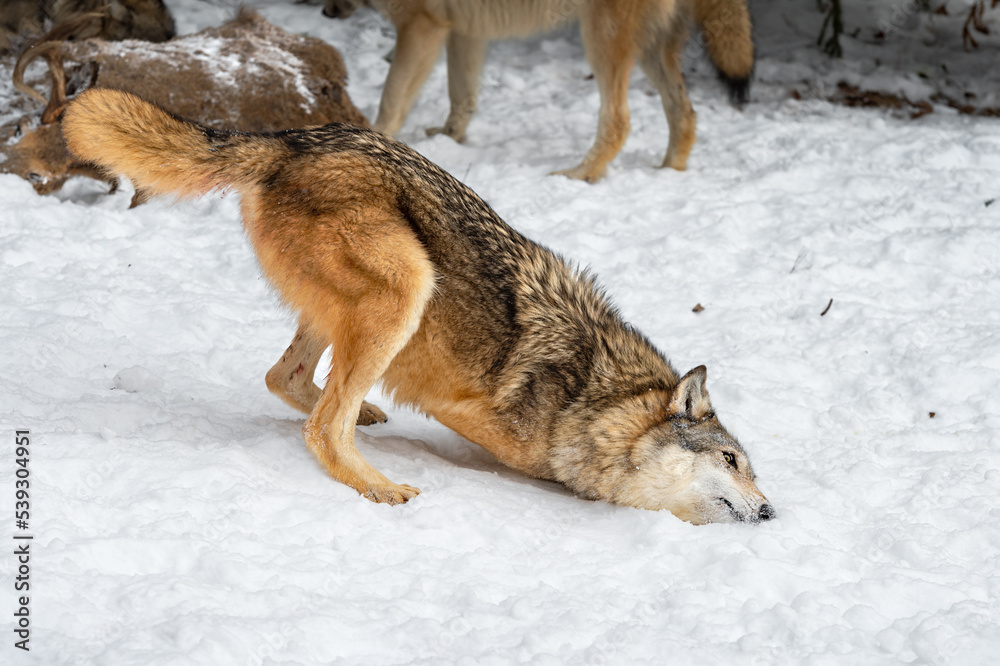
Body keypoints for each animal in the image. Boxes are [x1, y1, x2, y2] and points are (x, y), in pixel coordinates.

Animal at [62, 88, 773, 524]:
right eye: (731, 463)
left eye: (749, 469)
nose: (770, 511)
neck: (592, 397)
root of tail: (288, 139)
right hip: (408, 284)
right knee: (321, 425)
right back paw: (377, 483)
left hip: (358, 304)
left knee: (285, 378)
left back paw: (366, 415)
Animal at [323, 0, 754, 182]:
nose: (326, 12)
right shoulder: (464, 31)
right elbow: (462, 95)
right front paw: (449, 138)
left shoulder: (422, 26)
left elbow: (392, 98)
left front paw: (369, 142)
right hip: (650, 46)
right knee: (686, 113)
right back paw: (668, 171)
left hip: (602, 36)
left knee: (619, 120)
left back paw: (578, 174)